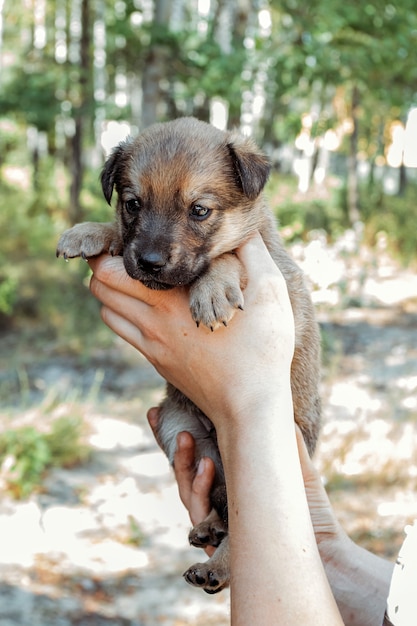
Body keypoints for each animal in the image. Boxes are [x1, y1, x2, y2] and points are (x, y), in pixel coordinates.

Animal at [57, 118, 320, 596]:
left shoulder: (268, 263)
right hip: (177, 426)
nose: (149, 262)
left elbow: (228, 256)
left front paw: (212, 291)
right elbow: (119, 236)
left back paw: (217, 566)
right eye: (133, 204)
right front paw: (88, 231)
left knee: (241, 529)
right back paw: (209, 528)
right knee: (223, 508)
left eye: (199, 211)